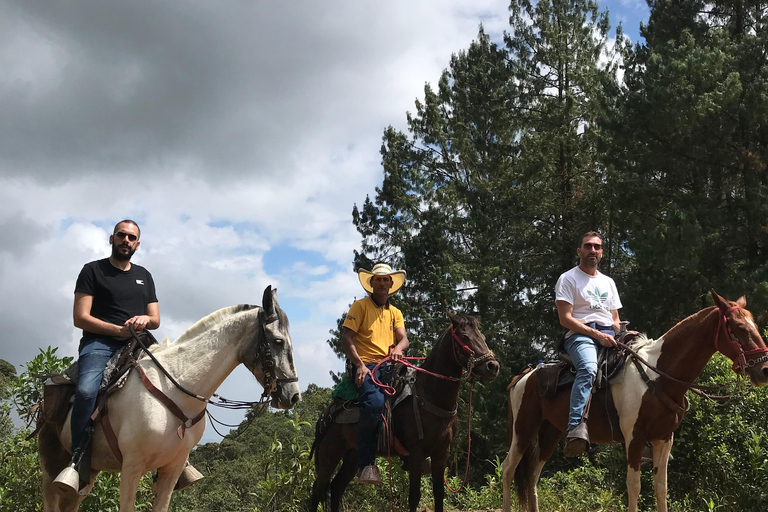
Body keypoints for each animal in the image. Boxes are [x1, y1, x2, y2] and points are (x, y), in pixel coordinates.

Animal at [39, 286, 300, 512]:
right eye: (278, 341)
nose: (293, 395)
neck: (176, 388)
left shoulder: (172, 469)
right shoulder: (131, 468)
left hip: (89, 472)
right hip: (54, 466)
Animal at [308, 312, 500, 512]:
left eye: (482, 336)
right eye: (464, 336)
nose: (493, 366)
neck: (430, 396)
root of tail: (326, 414)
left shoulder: (442, 453)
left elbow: (439, 494)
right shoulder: (416, 452)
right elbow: (414, 496)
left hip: (352, 455)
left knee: (337, 487)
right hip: (330, 453)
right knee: (318, 489)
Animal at [500, 292, 768, 512]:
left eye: (754, 325)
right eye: (739, 328)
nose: (764, 369)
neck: (658, 376)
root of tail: (524, 376)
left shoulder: (663, 439)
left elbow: (661, 488)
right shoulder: (634, 439)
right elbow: (634, 486)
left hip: (550, 432)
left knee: (532, 476)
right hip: (523, 430)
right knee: (508, 469)